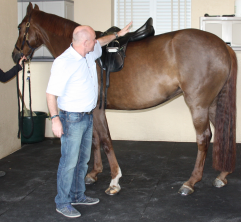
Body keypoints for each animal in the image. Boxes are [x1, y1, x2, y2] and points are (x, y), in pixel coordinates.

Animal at [12, 2, 236, 195]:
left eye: (20, 26)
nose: (15, 55)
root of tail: (223, 46)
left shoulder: (97, 109)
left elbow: (105, 140)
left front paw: (114, 180)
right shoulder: (90, 110)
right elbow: (95, 139)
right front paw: (94, 173)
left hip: (198, 105)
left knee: (204, 137)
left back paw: (191, 182)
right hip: (212, 105)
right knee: (220, 131)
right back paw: (222, 175)